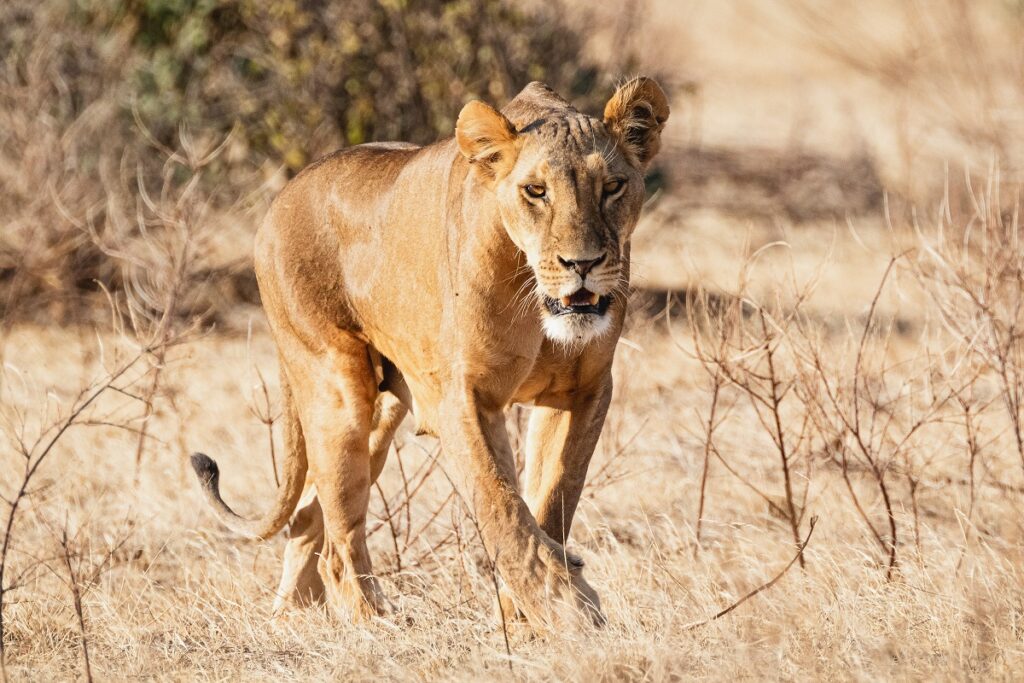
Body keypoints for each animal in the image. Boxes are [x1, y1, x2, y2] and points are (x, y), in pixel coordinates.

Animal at [190, 76, 671, 630]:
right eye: (536, 191)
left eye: (612, 186)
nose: (583, 263)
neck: (535, 299)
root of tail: (284, 192)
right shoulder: (462, 398)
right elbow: (503, 509)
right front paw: (569, 614)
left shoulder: (582, 390)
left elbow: (551, 502)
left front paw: (527, 615)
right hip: (335, 386)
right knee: (338, 541)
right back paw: (376, 625)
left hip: (384, 407)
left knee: (310, 515)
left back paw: (293, 616)